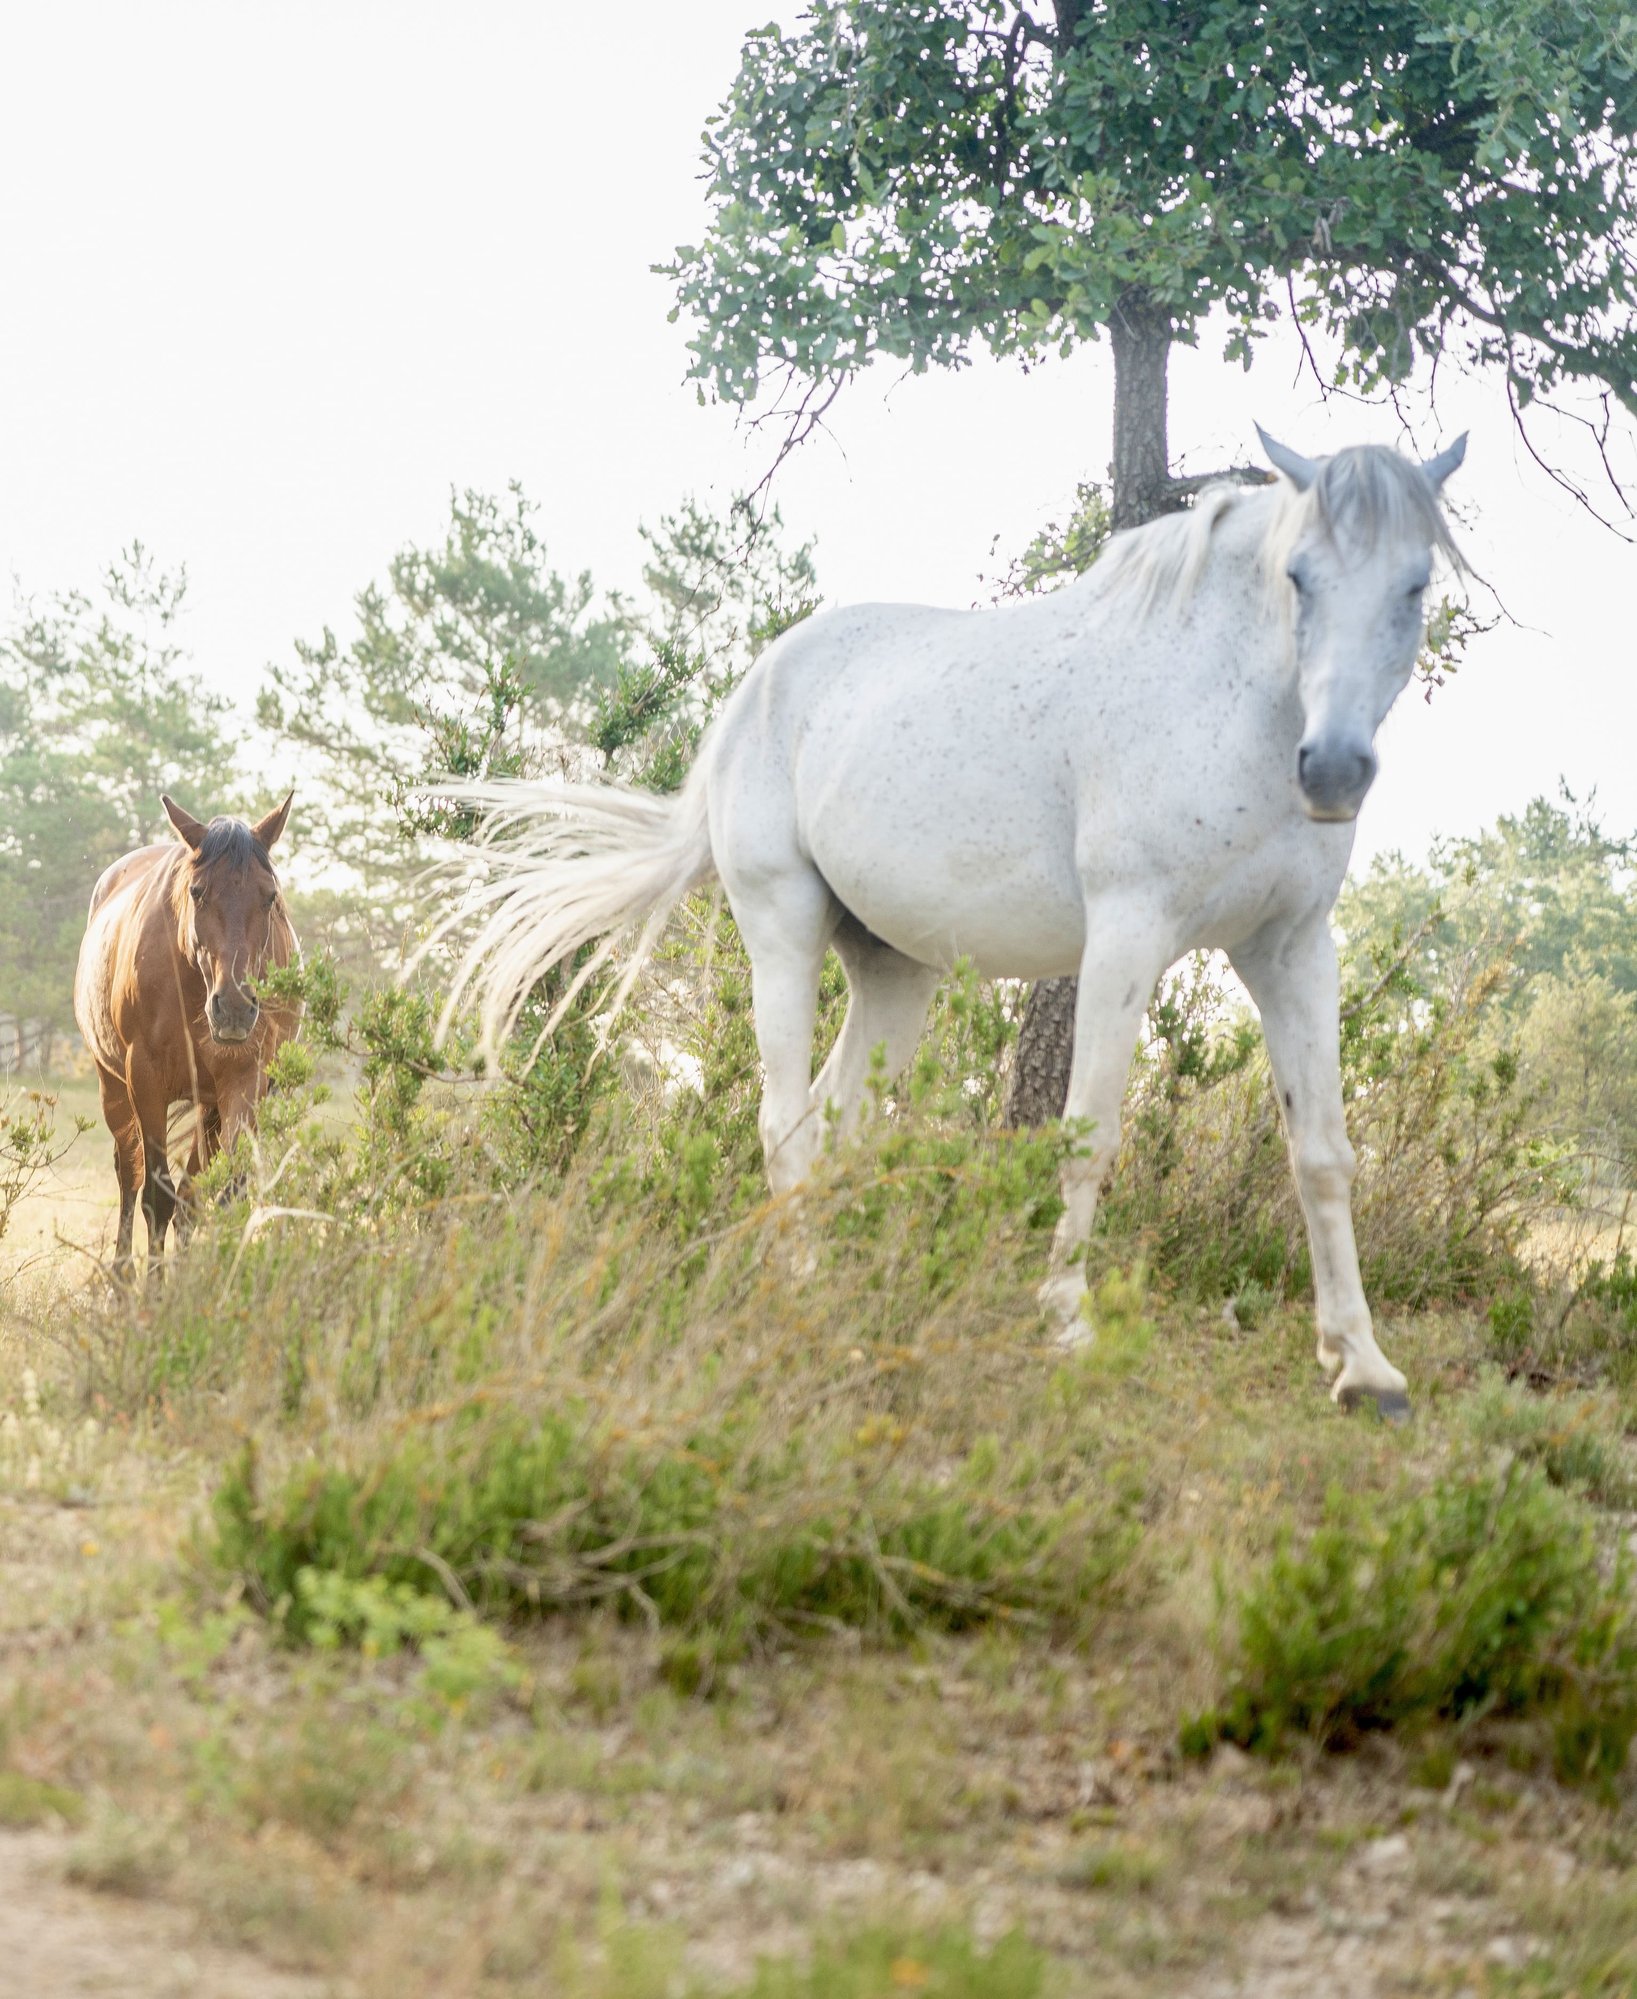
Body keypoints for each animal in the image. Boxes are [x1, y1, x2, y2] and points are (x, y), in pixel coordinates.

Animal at [74, 791, 301, 1271]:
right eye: (197, 892)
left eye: (270, 896)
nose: (234, 1008)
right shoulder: (145, 1081)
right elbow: (156, 1196)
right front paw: (154, 1287)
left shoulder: (245, 1081)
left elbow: (226, 1192)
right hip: (113, 1087)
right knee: (130, 1174)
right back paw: (122, 1275)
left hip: (210, 1105)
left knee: (192, 1194)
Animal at [437, 429, 1471, 1423]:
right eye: (1297, 575)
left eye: (1414, 583)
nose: (1331, 770)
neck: (1228, 703)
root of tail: (753, 688)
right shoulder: (1128, 933)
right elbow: (1088, 1134)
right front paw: (1065, 1321)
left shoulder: (1290, 950)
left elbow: (1323, 1153)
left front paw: (1362, 1365)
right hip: (781, 928)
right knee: (783, 1119)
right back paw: (807, 1285)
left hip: (895, 970)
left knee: (838, 1114)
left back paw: (847, 1286)